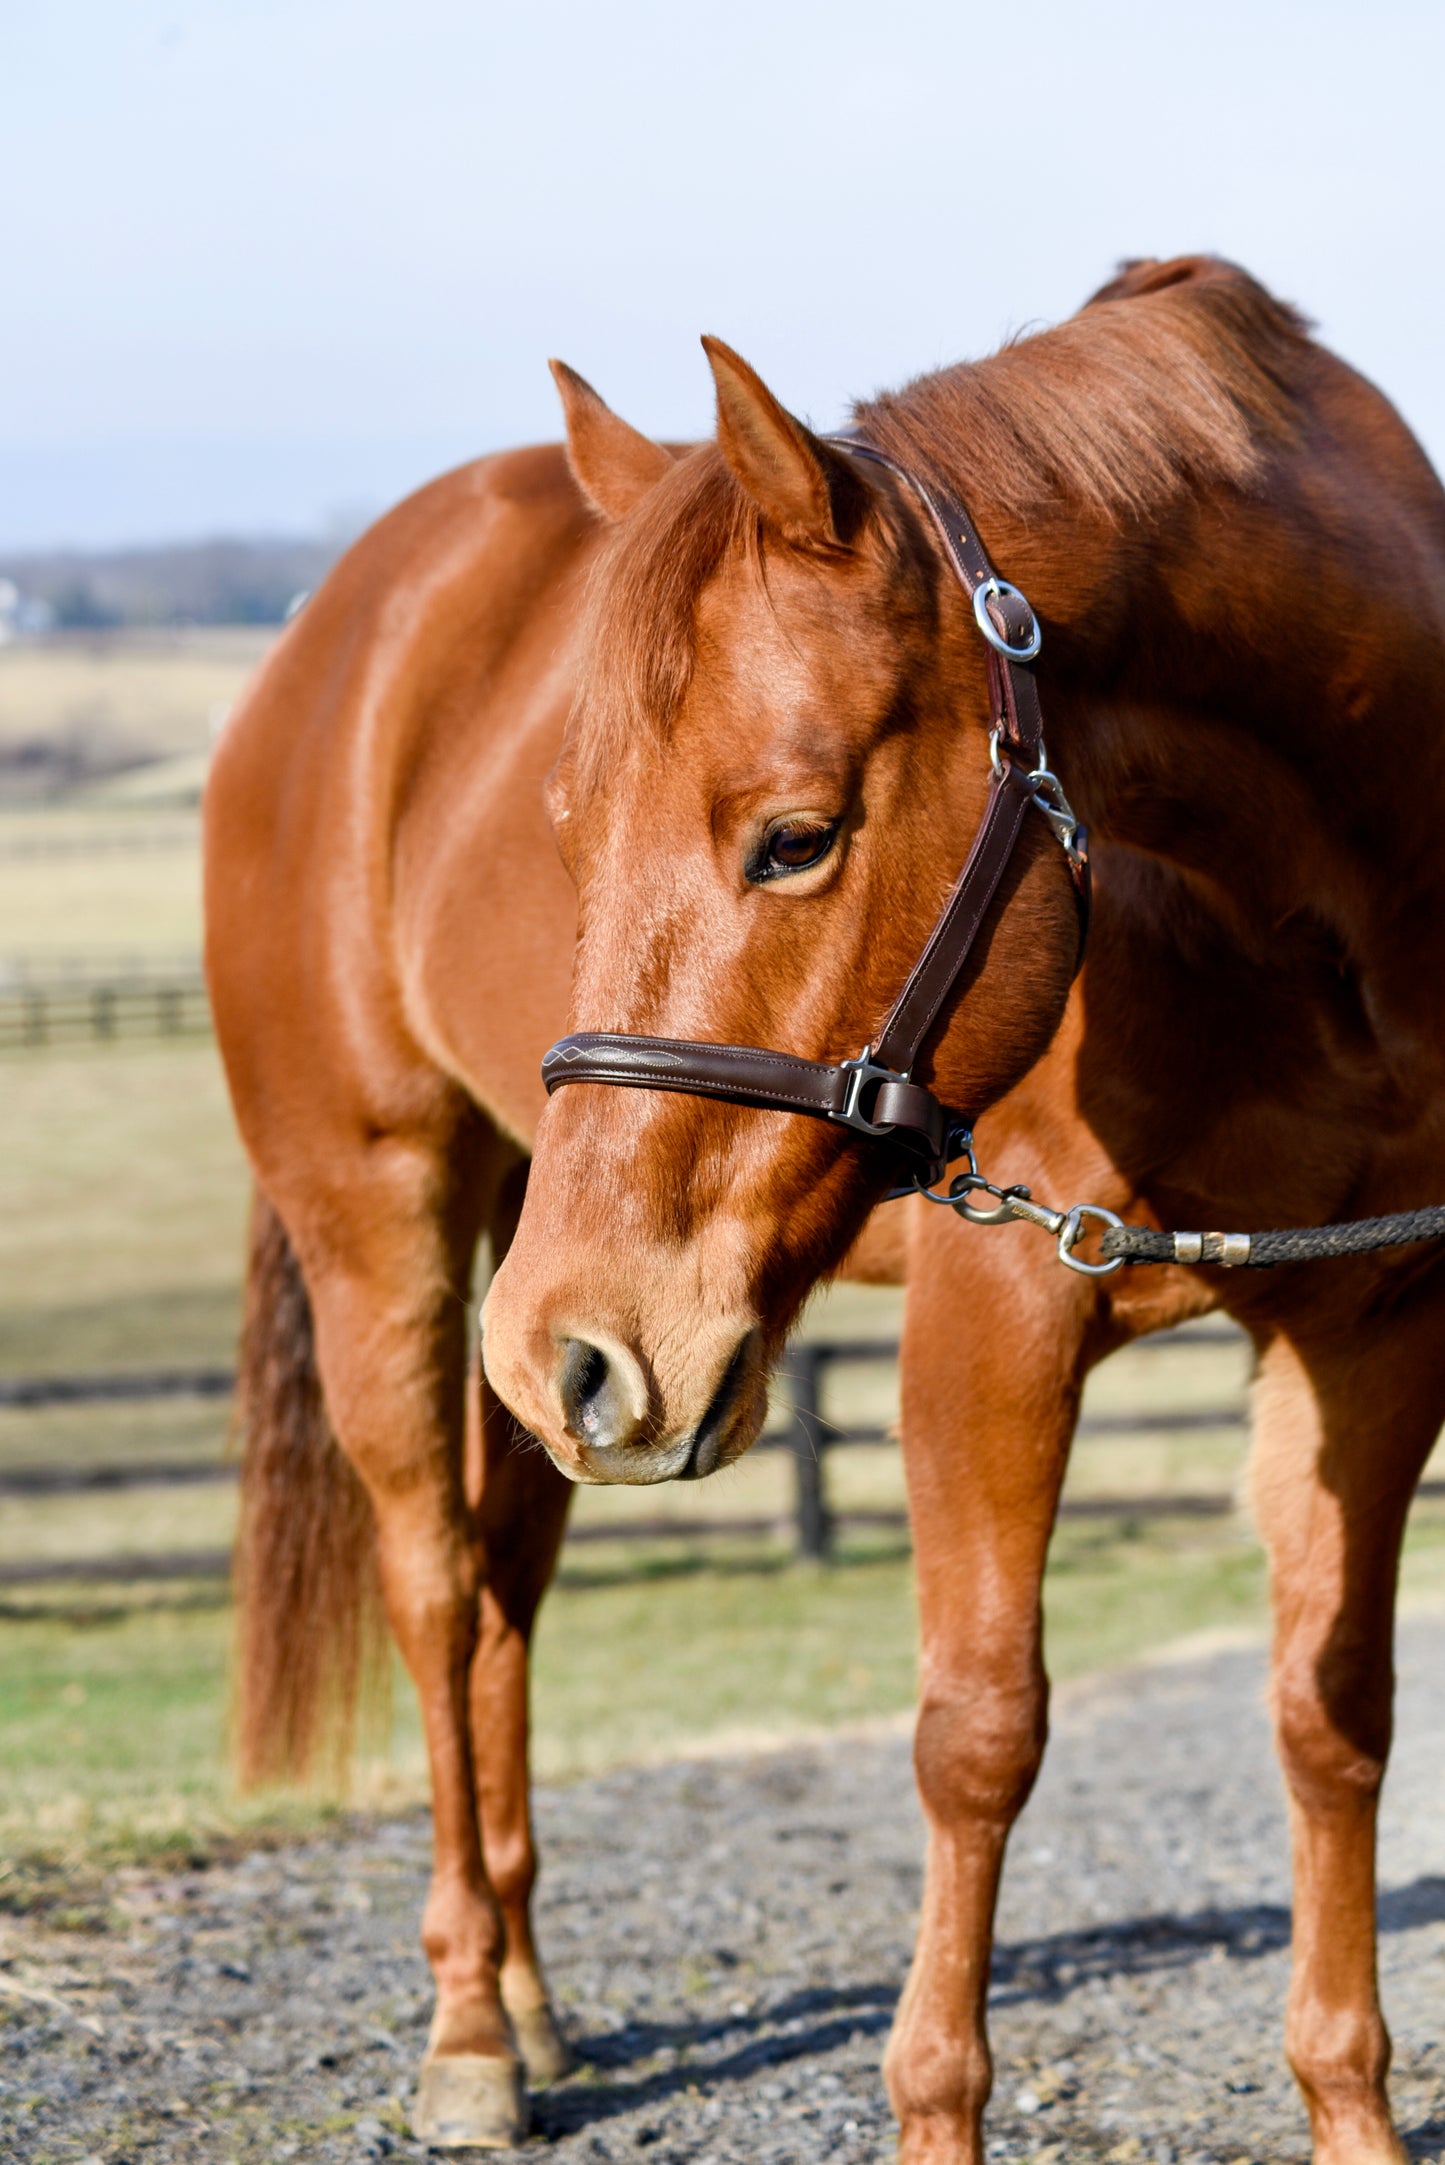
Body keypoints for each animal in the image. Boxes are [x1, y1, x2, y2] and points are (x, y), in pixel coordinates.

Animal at [203, 257, 1445, 2165]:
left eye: (793, 838)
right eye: (565, 837)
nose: (592, 1340)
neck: (1306, 922)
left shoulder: (1372, 1323)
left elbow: (1335, 1714)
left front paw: (1350, 2110)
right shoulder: (999, 1320)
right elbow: (979, 1735)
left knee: (504, 1593)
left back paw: (536, 2001)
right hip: (394, 1236)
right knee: (433, 1587)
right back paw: (472, 2024)